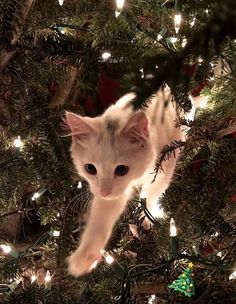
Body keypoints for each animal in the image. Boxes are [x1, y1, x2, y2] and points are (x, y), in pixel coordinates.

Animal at [66, 89, 184, 276]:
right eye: (90, 169)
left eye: (121, 170)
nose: (104, 192)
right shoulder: (110, 197)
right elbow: (99, 223)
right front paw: (83, 258)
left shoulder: (165, 164)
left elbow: (153, 192)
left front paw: (147, 217)